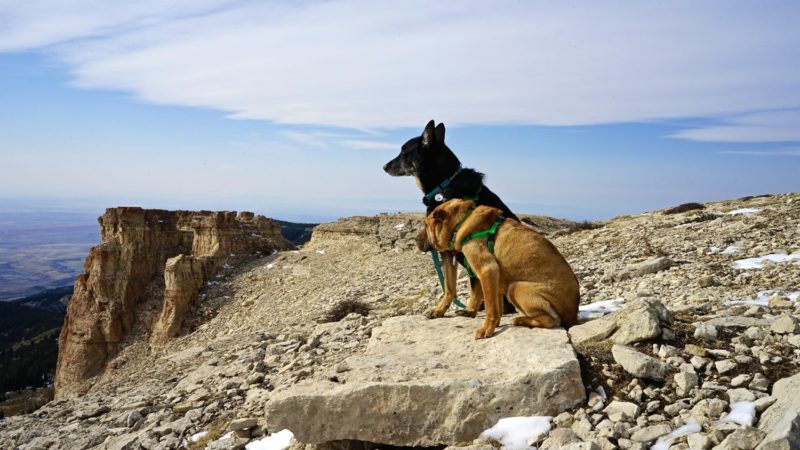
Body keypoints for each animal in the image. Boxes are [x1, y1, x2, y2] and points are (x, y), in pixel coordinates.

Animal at [386, 119, 520, 314]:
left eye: (404, 152)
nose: (384, 167)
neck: (443, 186)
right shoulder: (448, 251)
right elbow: (449, 286)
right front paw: (440, 310)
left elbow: (473, 285)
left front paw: (469, 311)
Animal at [424, 199, 580, 340]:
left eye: (426, 225)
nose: (418, 242)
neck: (462, 221)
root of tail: (573, 314)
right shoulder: (495, 279)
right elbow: (497, 307)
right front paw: (495, 324)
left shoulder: (487, 270)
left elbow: (490, 308)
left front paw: (487, 329)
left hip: (517, 288)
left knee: (551, 321)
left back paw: (519, 320)